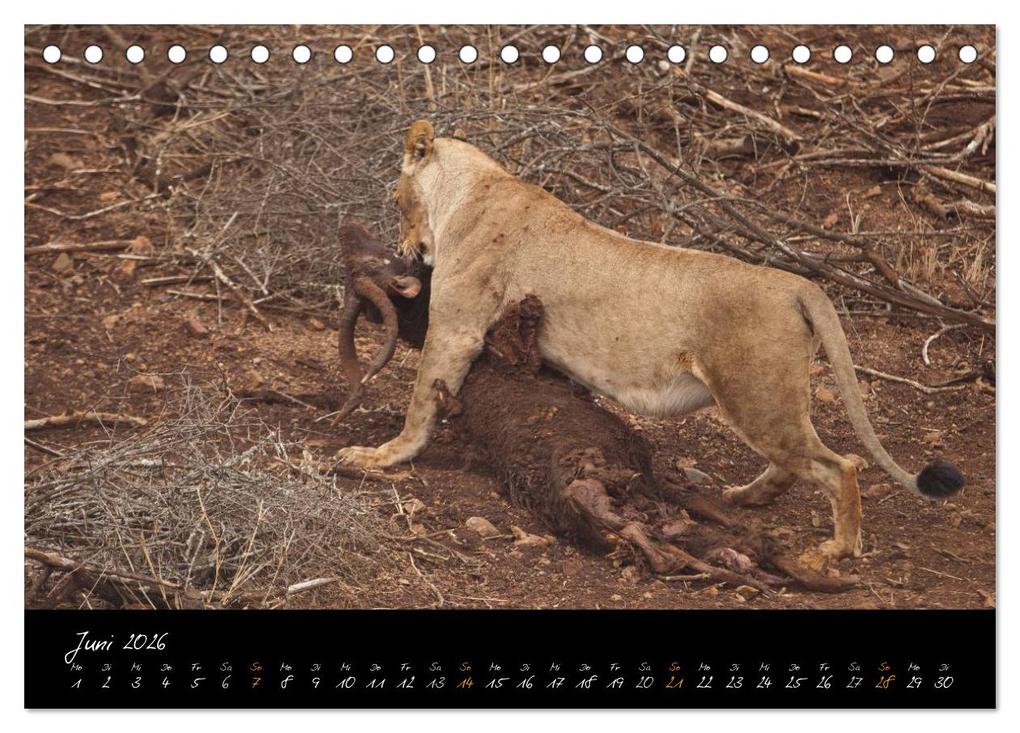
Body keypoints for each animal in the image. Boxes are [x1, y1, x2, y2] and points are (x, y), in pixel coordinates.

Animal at [338, 119, 964, 559]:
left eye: (395, 197)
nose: (406, 247)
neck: (471, 190)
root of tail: (797, 282)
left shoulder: (457, 326)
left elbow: (422, 400)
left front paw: (381, 455)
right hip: (769, 399)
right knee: (798, 460)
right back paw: (743, 498)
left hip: (755, 395)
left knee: (840, 466)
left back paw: (838, 547)